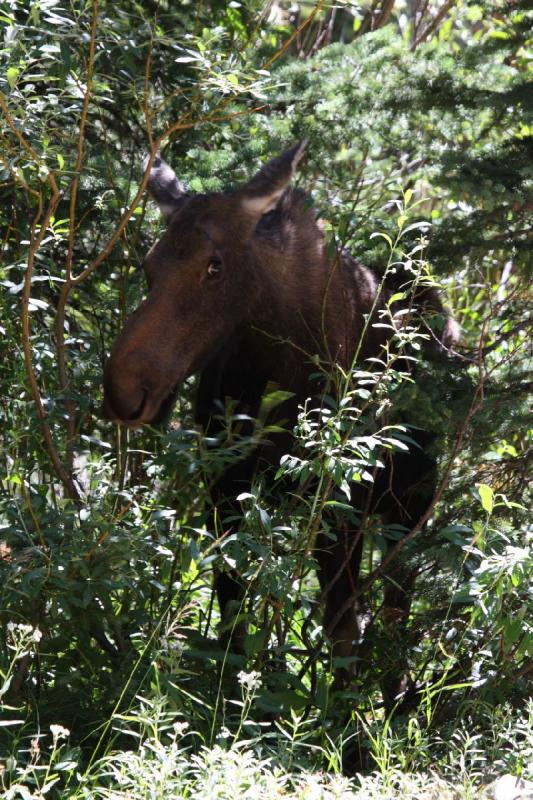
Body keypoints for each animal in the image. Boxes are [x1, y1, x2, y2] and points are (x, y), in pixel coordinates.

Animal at [103, 142, 458, 708]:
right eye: (149, 264)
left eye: (215, 266)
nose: (123, 389)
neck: (273, 371)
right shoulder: (226, 487)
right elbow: (232, 611)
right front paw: (232, 707)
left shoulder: (339, 501)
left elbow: (342, 628)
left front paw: (344, 729)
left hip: (410, 498)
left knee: (398, 593)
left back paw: (398, 695)